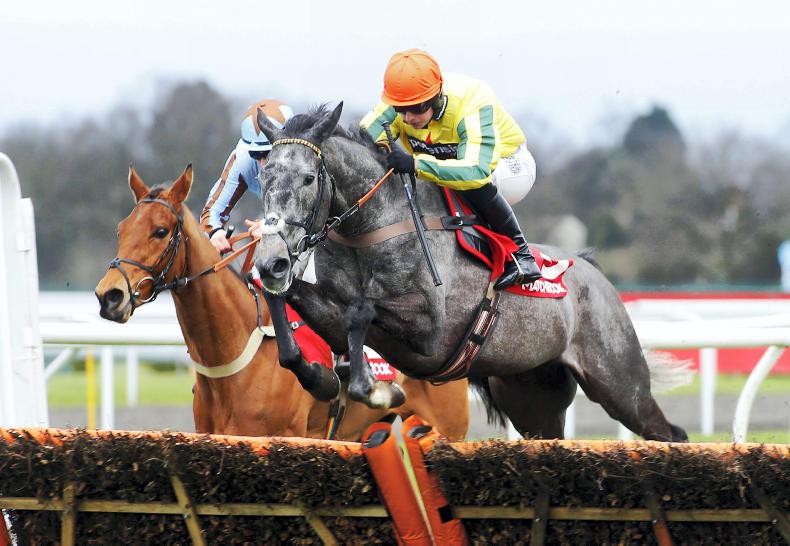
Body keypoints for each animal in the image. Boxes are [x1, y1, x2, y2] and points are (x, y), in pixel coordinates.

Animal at [250, 103, 688, 442]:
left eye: (309, 178)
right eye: (264, 175)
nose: (272, 259)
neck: (372, 226)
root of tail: (591, 271)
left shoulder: (430, 330)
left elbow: (361, 309)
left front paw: (374, 391)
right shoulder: (333, 317)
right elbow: (287, 302)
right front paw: (316, 375)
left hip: (619, 383)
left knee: (668, 433)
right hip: (531, 396)